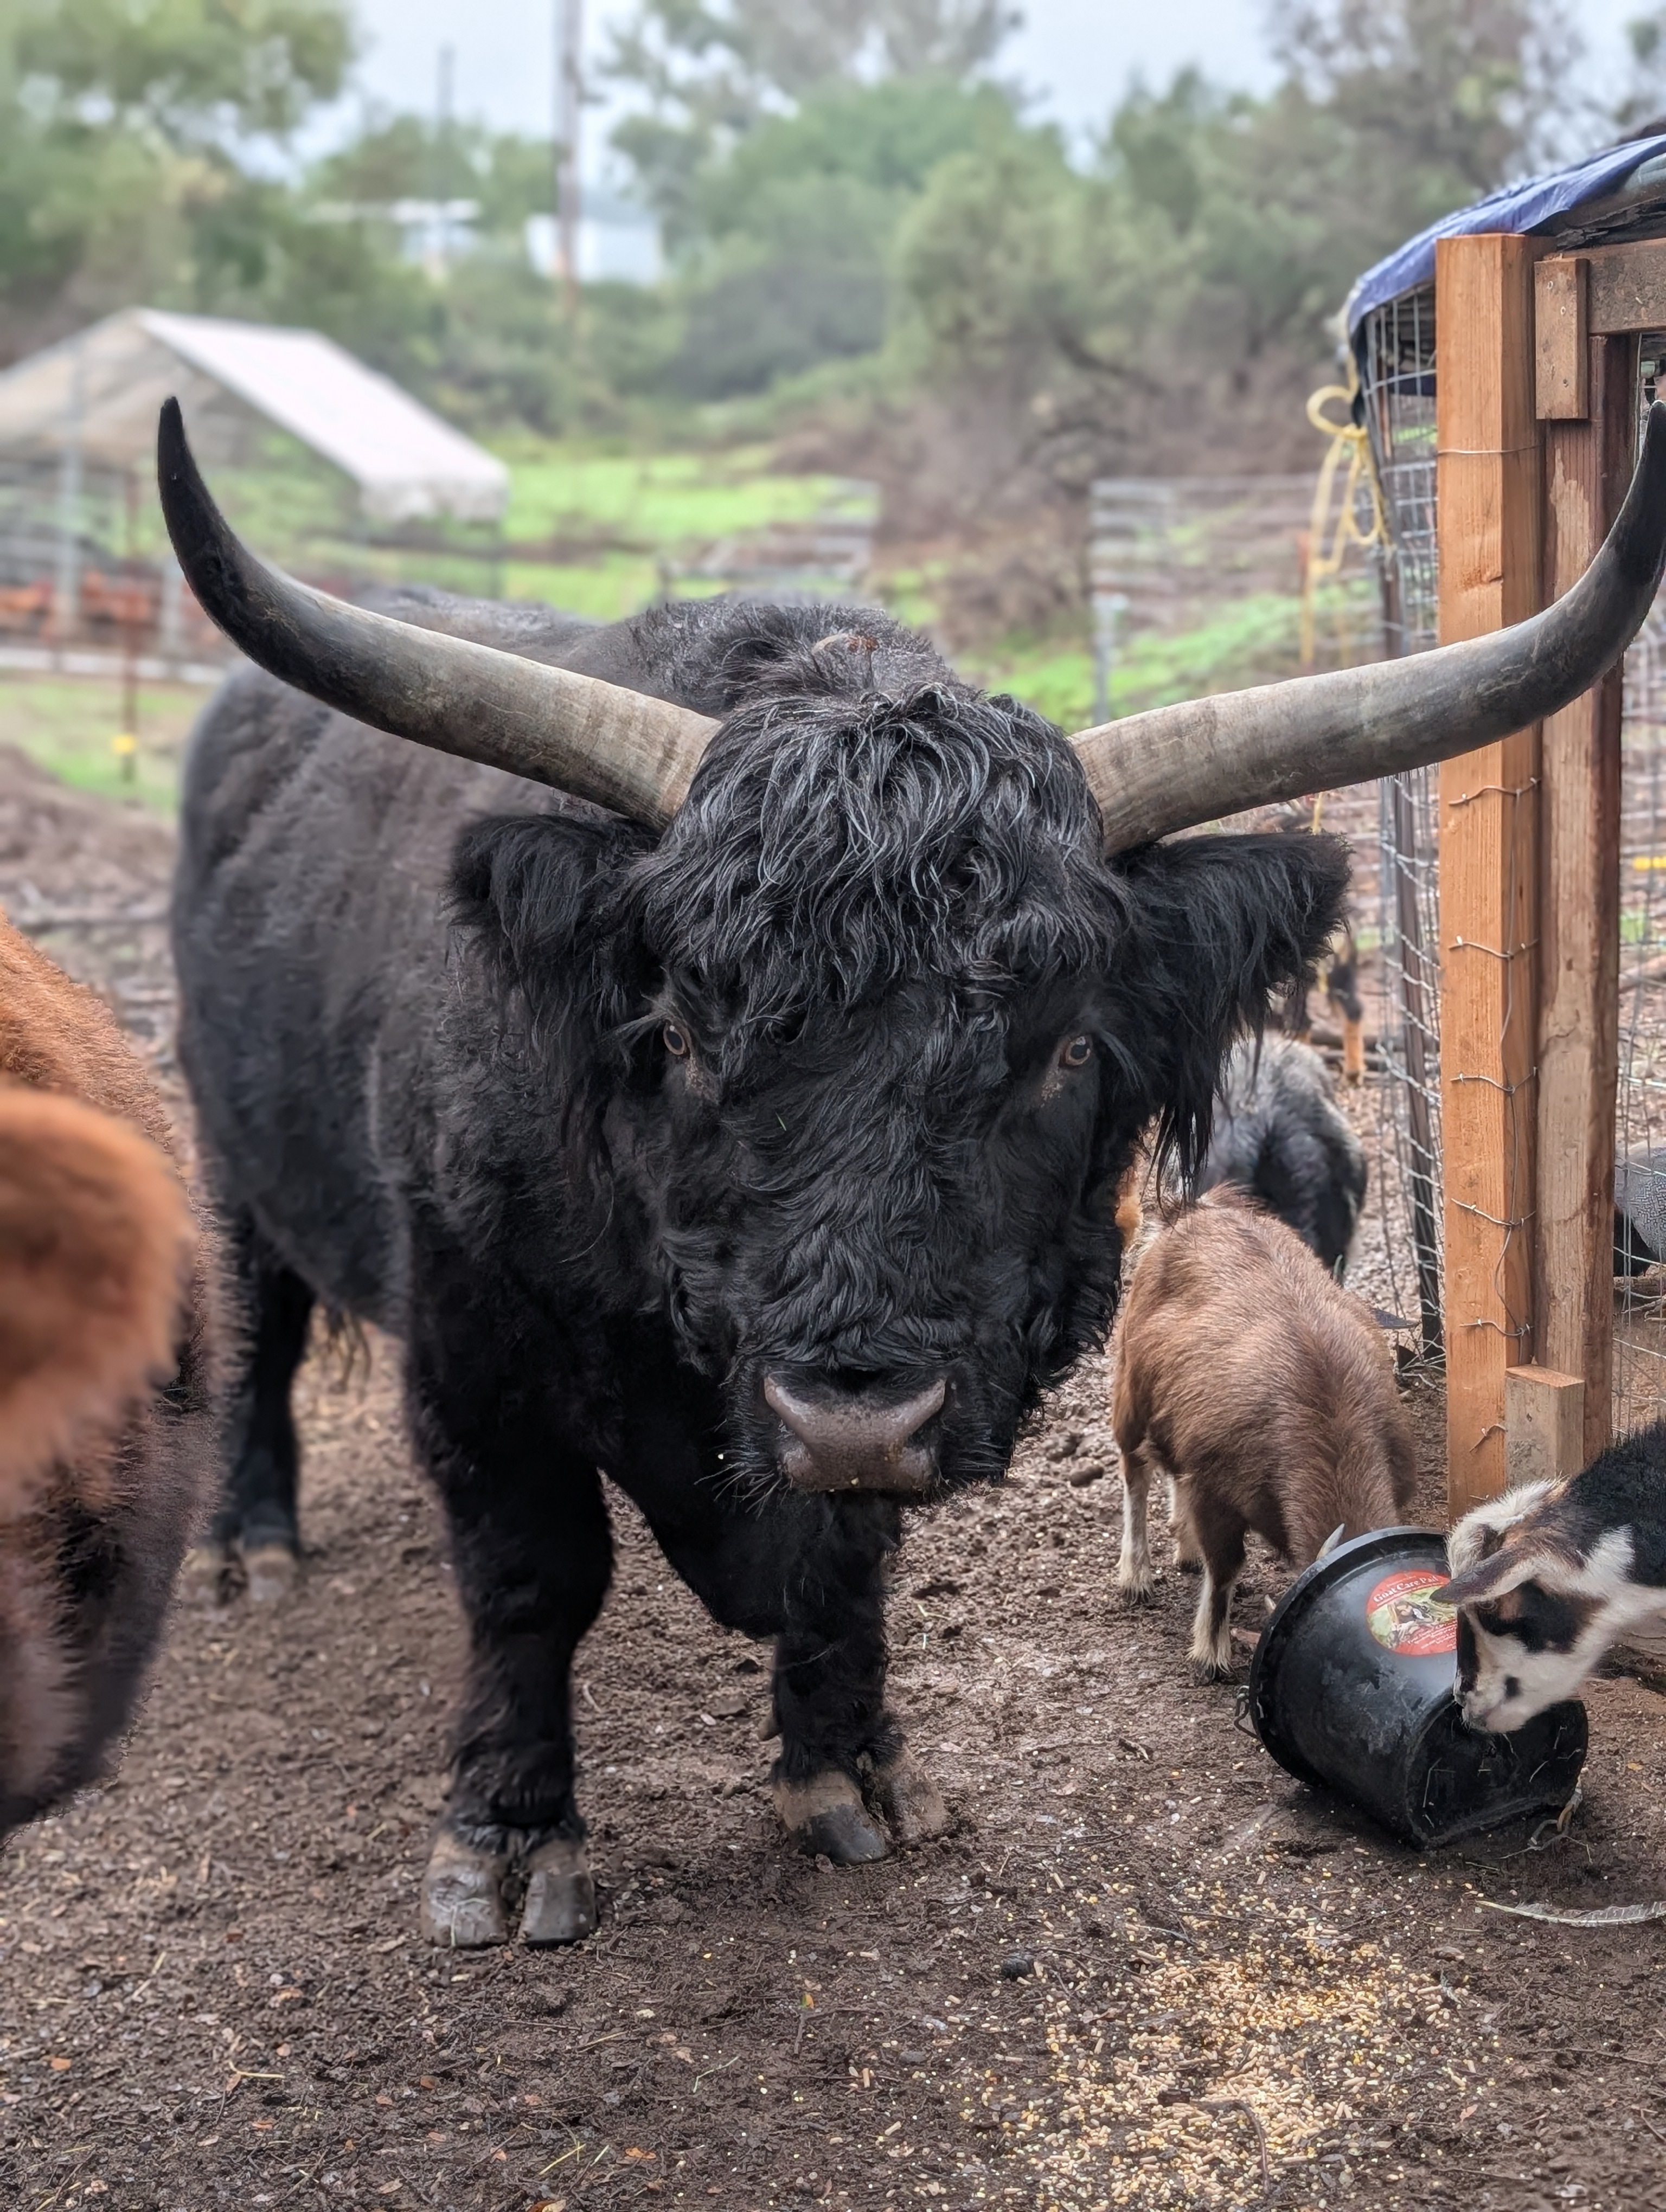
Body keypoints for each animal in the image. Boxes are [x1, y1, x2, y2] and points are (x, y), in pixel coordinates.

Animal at [156, 397, 1666, 1947]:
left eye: (1065, 1047)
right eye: (679, 1029)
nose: (849, 1417)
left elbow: (843, 1569)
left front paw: (851, 1770)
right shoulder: (475, 1352)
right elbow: (531, 1577)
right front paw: (508, 1841)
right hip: (230, 1148)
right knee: (262, 1325)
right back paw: (247, 1546)